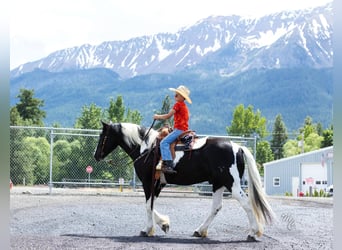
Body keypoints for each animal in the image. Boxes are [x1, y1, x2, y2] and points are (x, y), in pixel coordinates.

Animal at [93, 122, 276, 241]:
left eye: (103, 135)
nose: (96, 155)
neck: (147, 148)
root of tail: (238, 147)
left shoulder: (148, 182)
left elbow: (147, 205)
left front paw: (147, 230)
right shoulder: (158, 184)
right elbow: (151, 205)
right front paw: (163, 224)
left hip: (232, 184)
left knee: (246, 203)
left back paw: (253, 233)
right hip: (218, 184)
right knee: (216, 207)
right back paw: (200, 231)